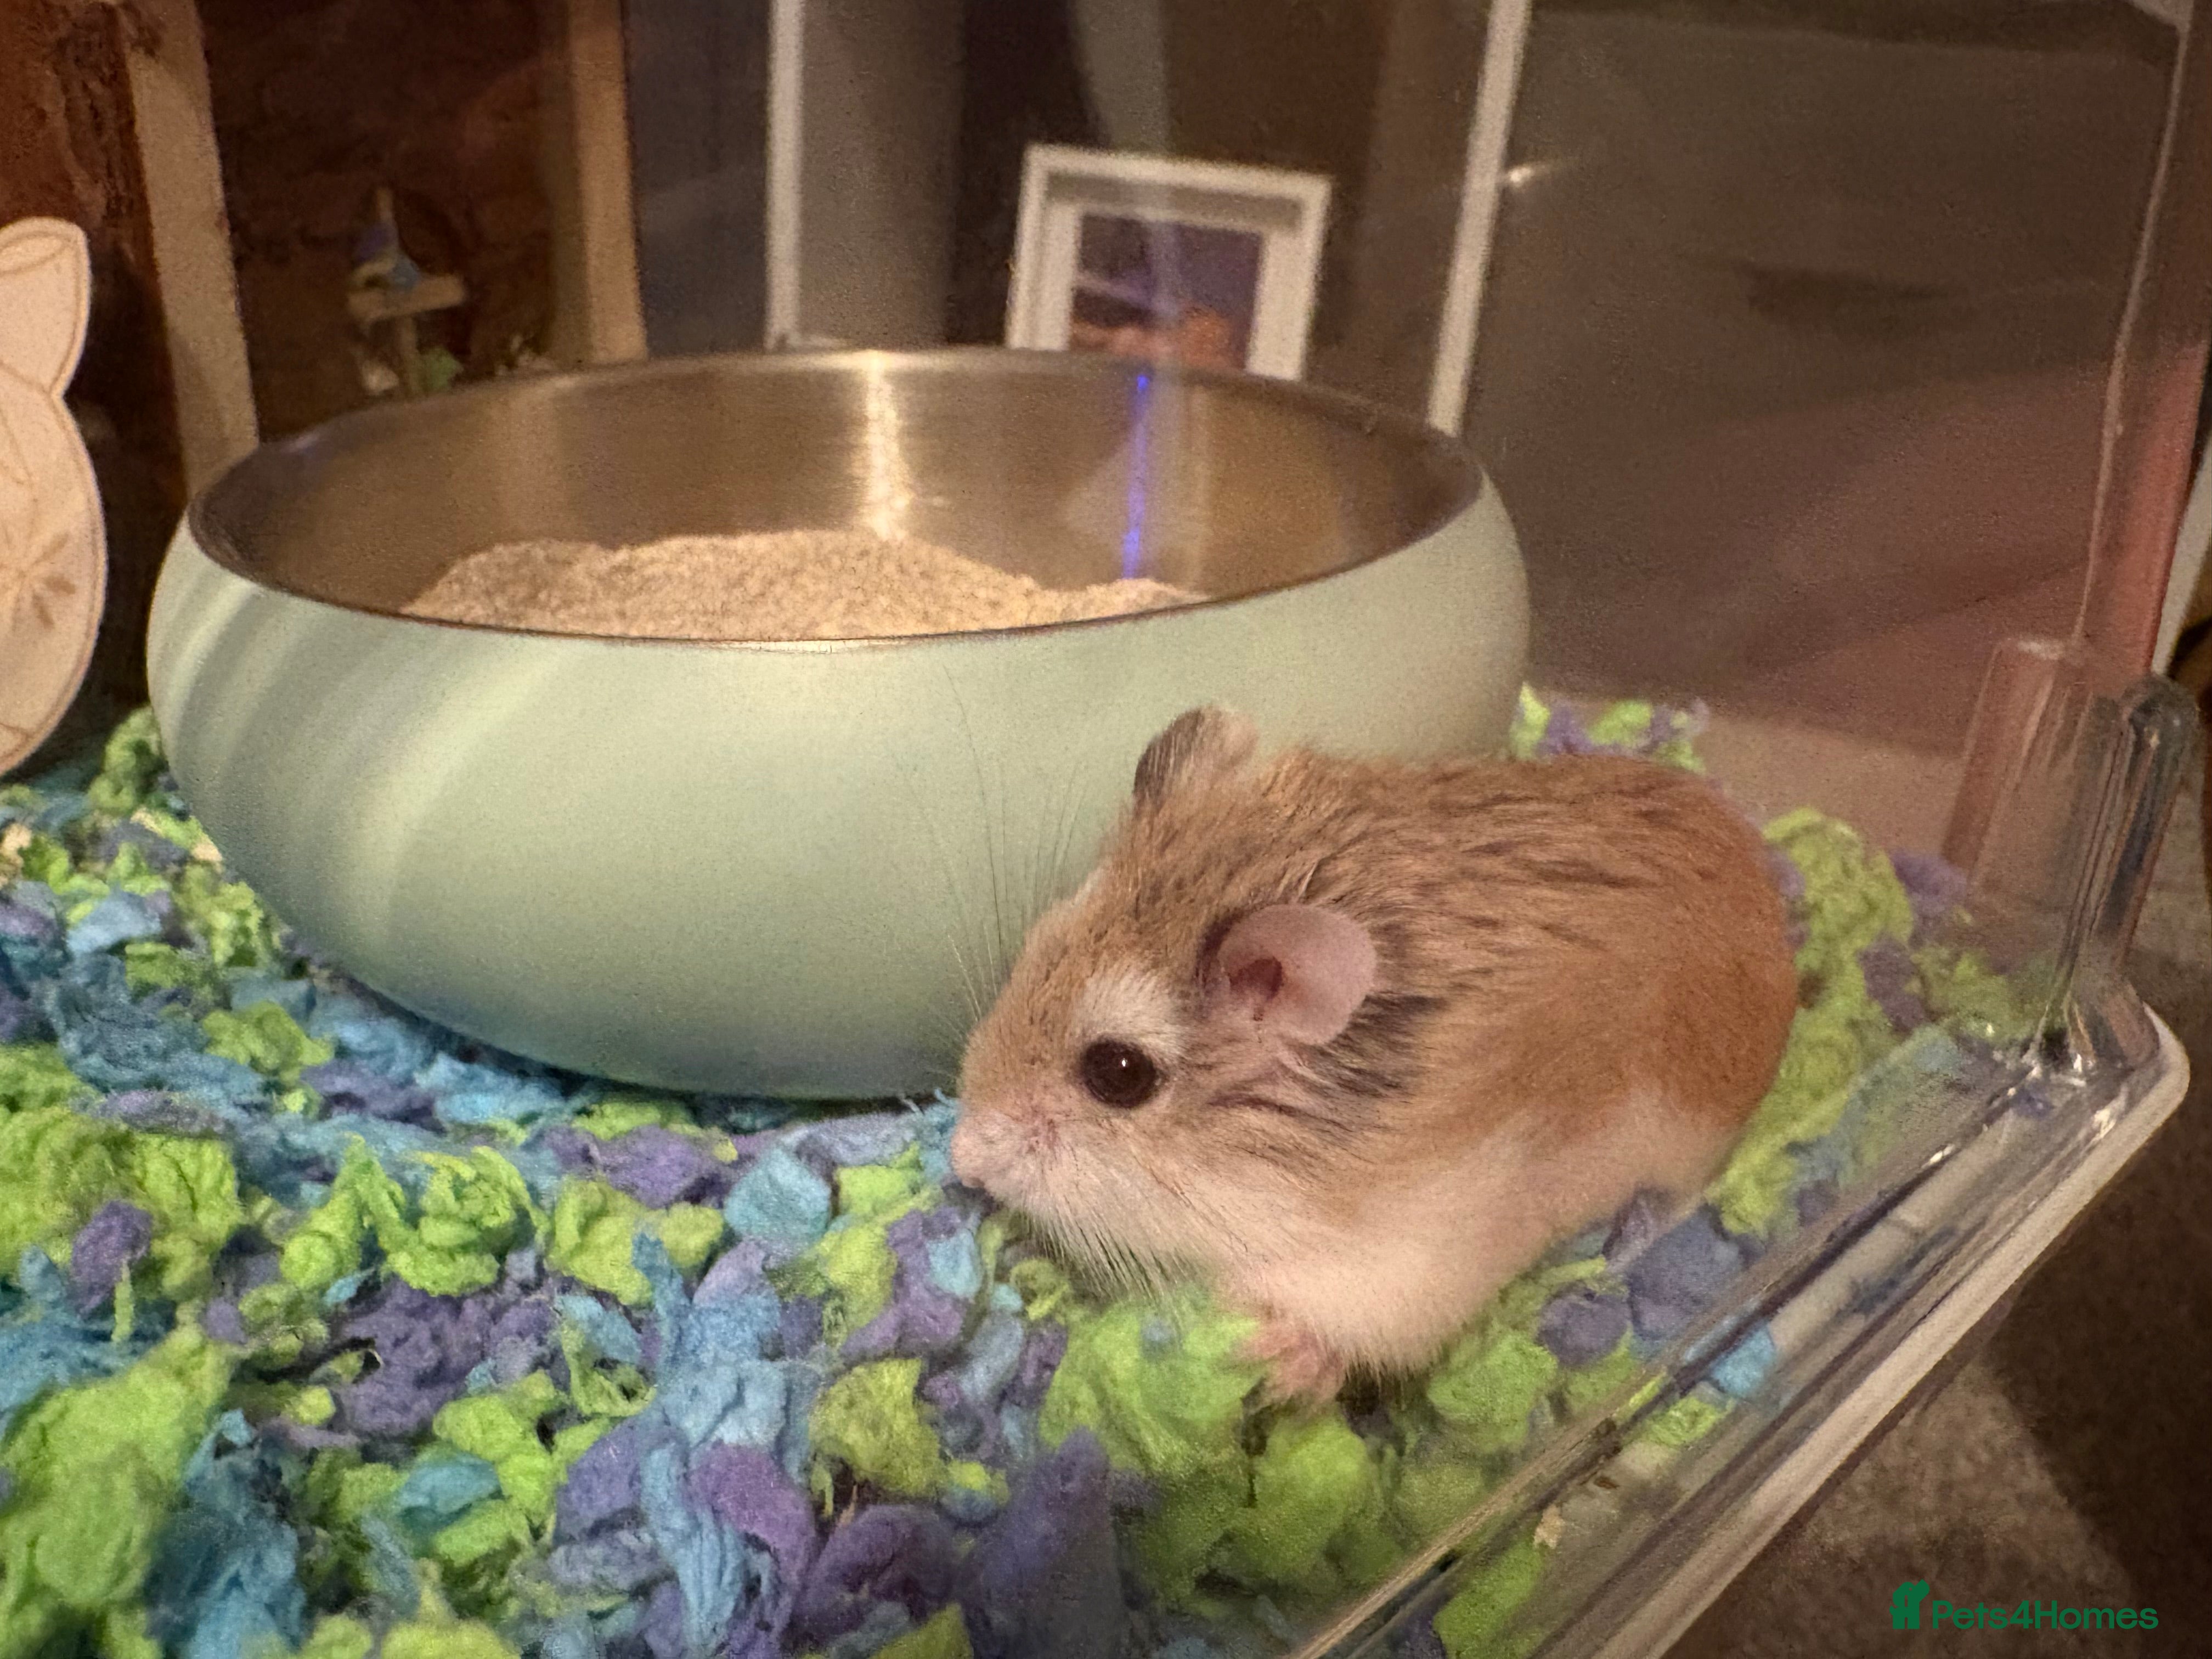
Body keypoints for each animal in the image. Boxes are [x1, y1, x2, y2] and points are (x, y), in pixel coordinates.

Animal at [950, 706, 1798, 1401]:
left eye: (1118, 1073)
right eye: (1033, 951)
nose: (960, 1160)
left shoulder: (1399, 1270)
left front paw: (1267, 1362)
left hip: (1689, 1143)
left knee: (1675, 1205)